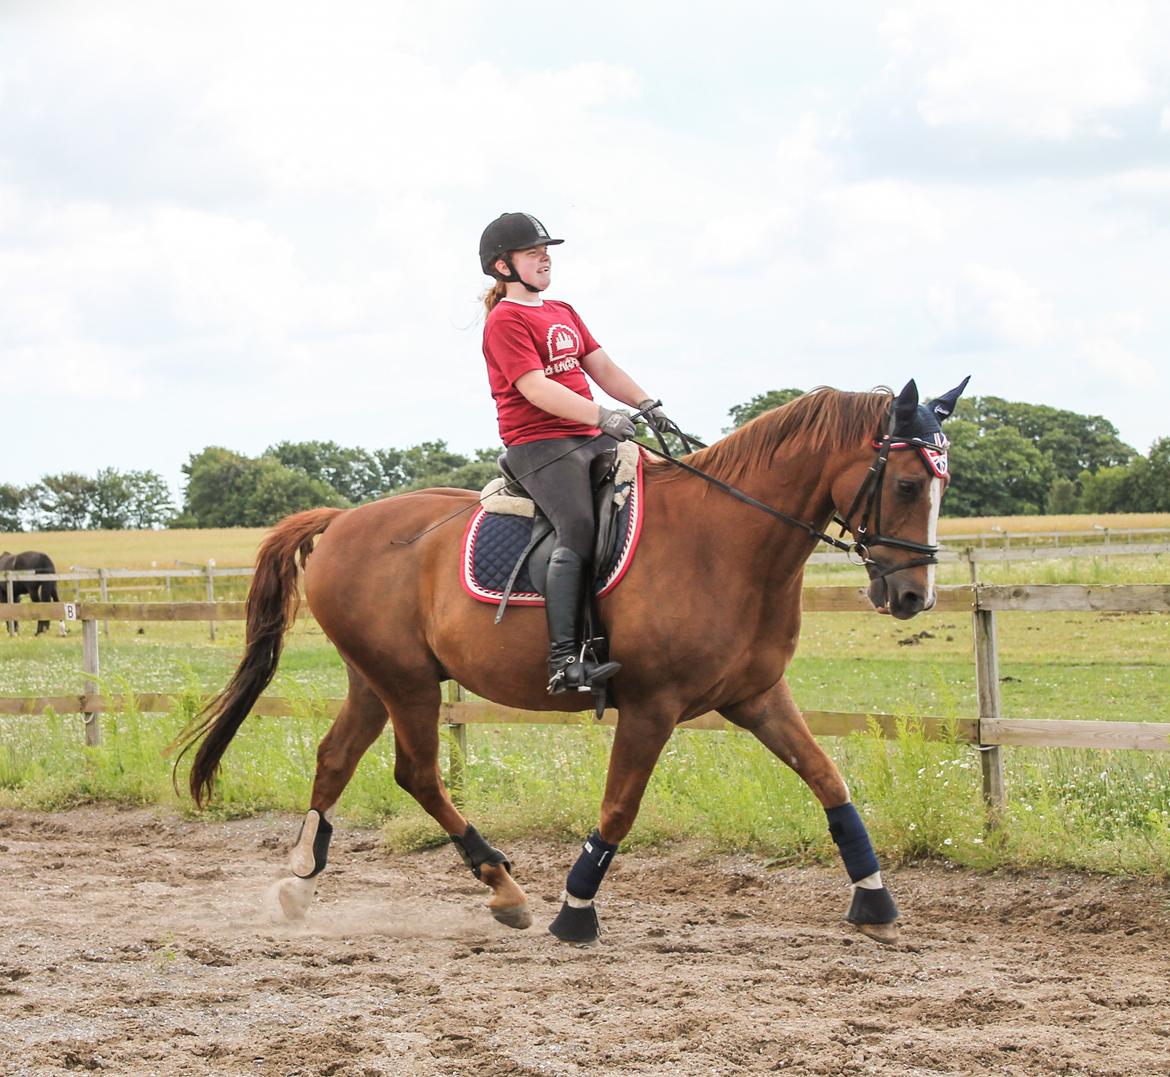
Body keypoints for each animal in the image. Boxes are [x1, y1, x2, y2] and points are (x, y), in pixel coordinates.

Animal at [177, 376, 968, 940]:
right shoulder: (652, 706)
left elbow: (829, 780)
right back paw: (502, 885)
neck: (726, 541)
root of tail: (342, 519)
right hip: (407, 683)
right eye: (905, 483)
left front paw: (875, 900)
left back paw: (299, 885)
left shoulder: (757, 696)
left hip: (376, 679)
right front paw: (575, 909)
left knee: (336, 759)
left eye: (943, 485)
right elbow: (620, 807)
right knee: (417, 774)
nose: (913, 595)